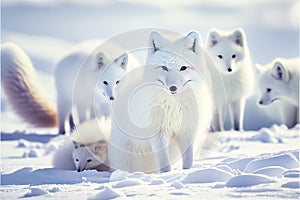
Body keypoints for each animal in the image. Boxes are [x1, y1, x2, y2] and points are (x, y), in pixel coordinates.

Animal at [108, 31, 213, 173]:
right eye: (164, 67)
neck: (175, 105)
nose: (173, 88)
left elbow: (188, 159)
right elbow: (163, 161)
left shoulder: (187, 130)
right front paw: (167, 174)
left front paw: (187, 172)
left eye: (183, 68)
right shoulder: (158, 132)